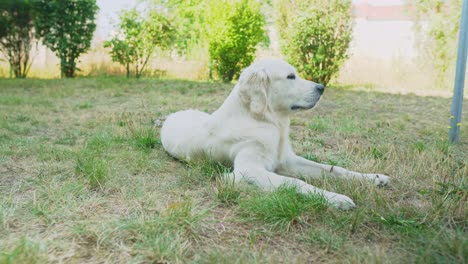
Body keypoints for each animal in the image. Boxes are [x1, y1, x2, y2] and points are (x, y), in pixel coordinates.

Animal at [161, 58, 388, 209]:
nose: (322, 87)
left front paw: (374, 178)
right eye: (290, 76)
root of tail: (170, 116)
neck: (265, 121)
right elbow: (296, 182)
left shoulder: (288, 160)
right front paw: (336, 198)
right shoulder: (248, 170)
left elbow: (334, 169)